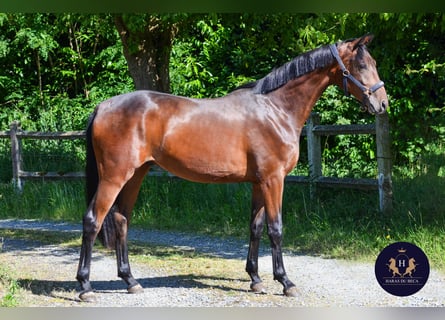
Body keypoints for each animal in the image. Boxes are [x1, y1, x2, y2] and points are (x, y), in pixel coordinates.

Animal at [75, 33, 386, 300]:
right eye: (361, 65)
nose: (382, 104)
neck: (275, 110)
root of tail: (102, 107)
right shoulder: (273, 180)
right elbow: (276, 228)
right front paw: (285, 282)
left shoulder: (259, 182)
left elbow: (255, 227)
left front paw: (256, 280)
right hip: (114, 177)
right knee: (92, 220)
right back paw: (85, 286)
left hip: (135, 176)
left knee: (121, 220)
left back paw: (131, 281)